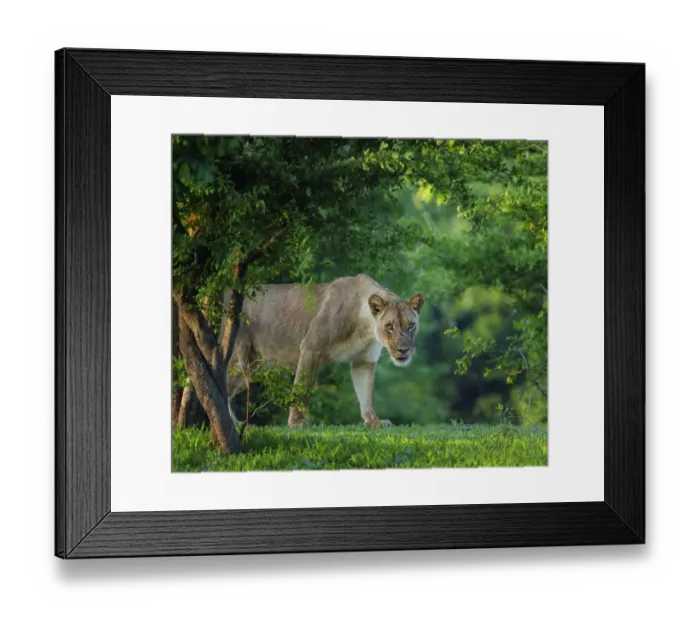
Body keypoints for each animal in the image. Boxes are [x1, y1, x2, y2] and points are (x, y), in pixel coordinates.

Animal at [226, 274, 424, 429]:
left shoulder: (364, 361)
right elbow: (302, 388)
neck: (365, 328)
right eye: (389, 326)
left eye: (411, 325)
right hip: (239, 360)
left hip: (253, 367)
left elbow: (366, 393)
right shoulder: (310, 348)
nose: (404, 350)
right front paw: (297, 423)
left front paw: (374, 422)